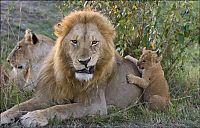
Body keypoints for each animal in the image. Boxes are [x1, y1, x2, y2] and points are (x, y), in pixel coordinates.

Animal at [1, 9, 142, 127]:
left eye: (94, 42)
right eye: (74, 41)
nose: (84, 61)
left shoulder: (96, 105)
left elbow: (62, 108)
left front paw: (34, 116)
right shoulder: (48, 95)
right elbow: (21, 105)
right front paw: (4, 115)